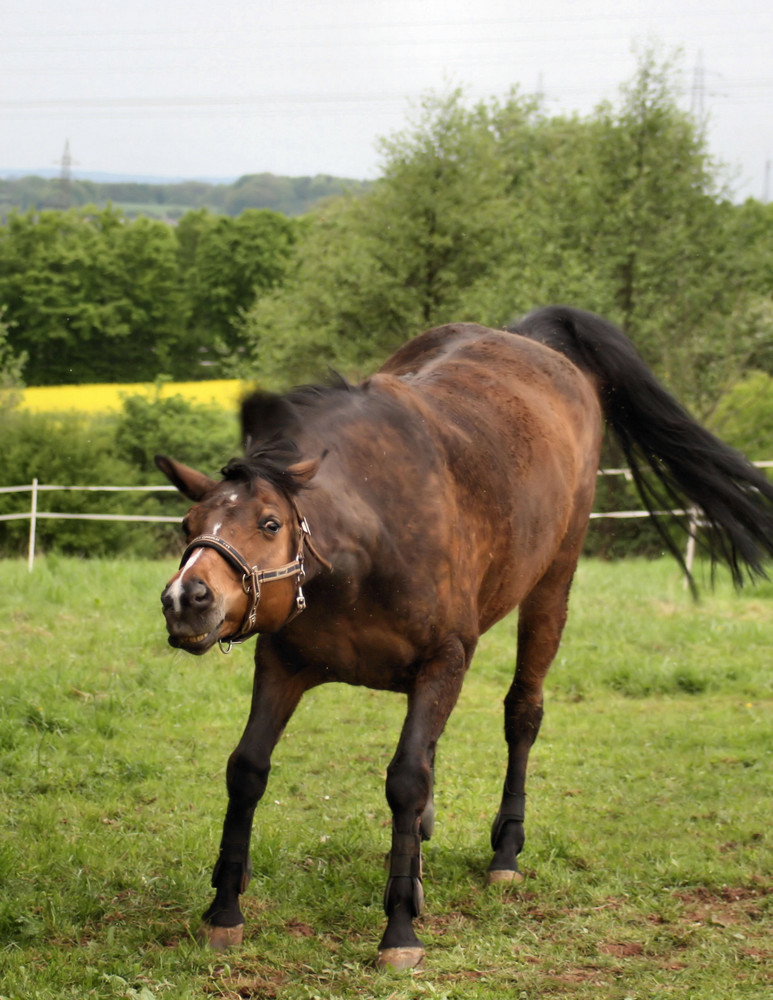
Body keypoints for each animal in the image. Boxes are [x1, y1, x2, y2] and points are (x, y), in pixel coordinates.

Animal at [155, 306, 772, 968]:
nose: (186, 599)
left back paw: (505, 851)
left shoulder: (444, 660)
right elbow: (248, 769)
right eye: (189, 523)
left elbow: (406, 778)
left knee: (522, 713)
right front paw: (226, 908)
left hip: (552, 585)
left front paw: (400, 927)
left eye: (270, 523)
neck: (367, 543)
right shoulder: (283, 662)